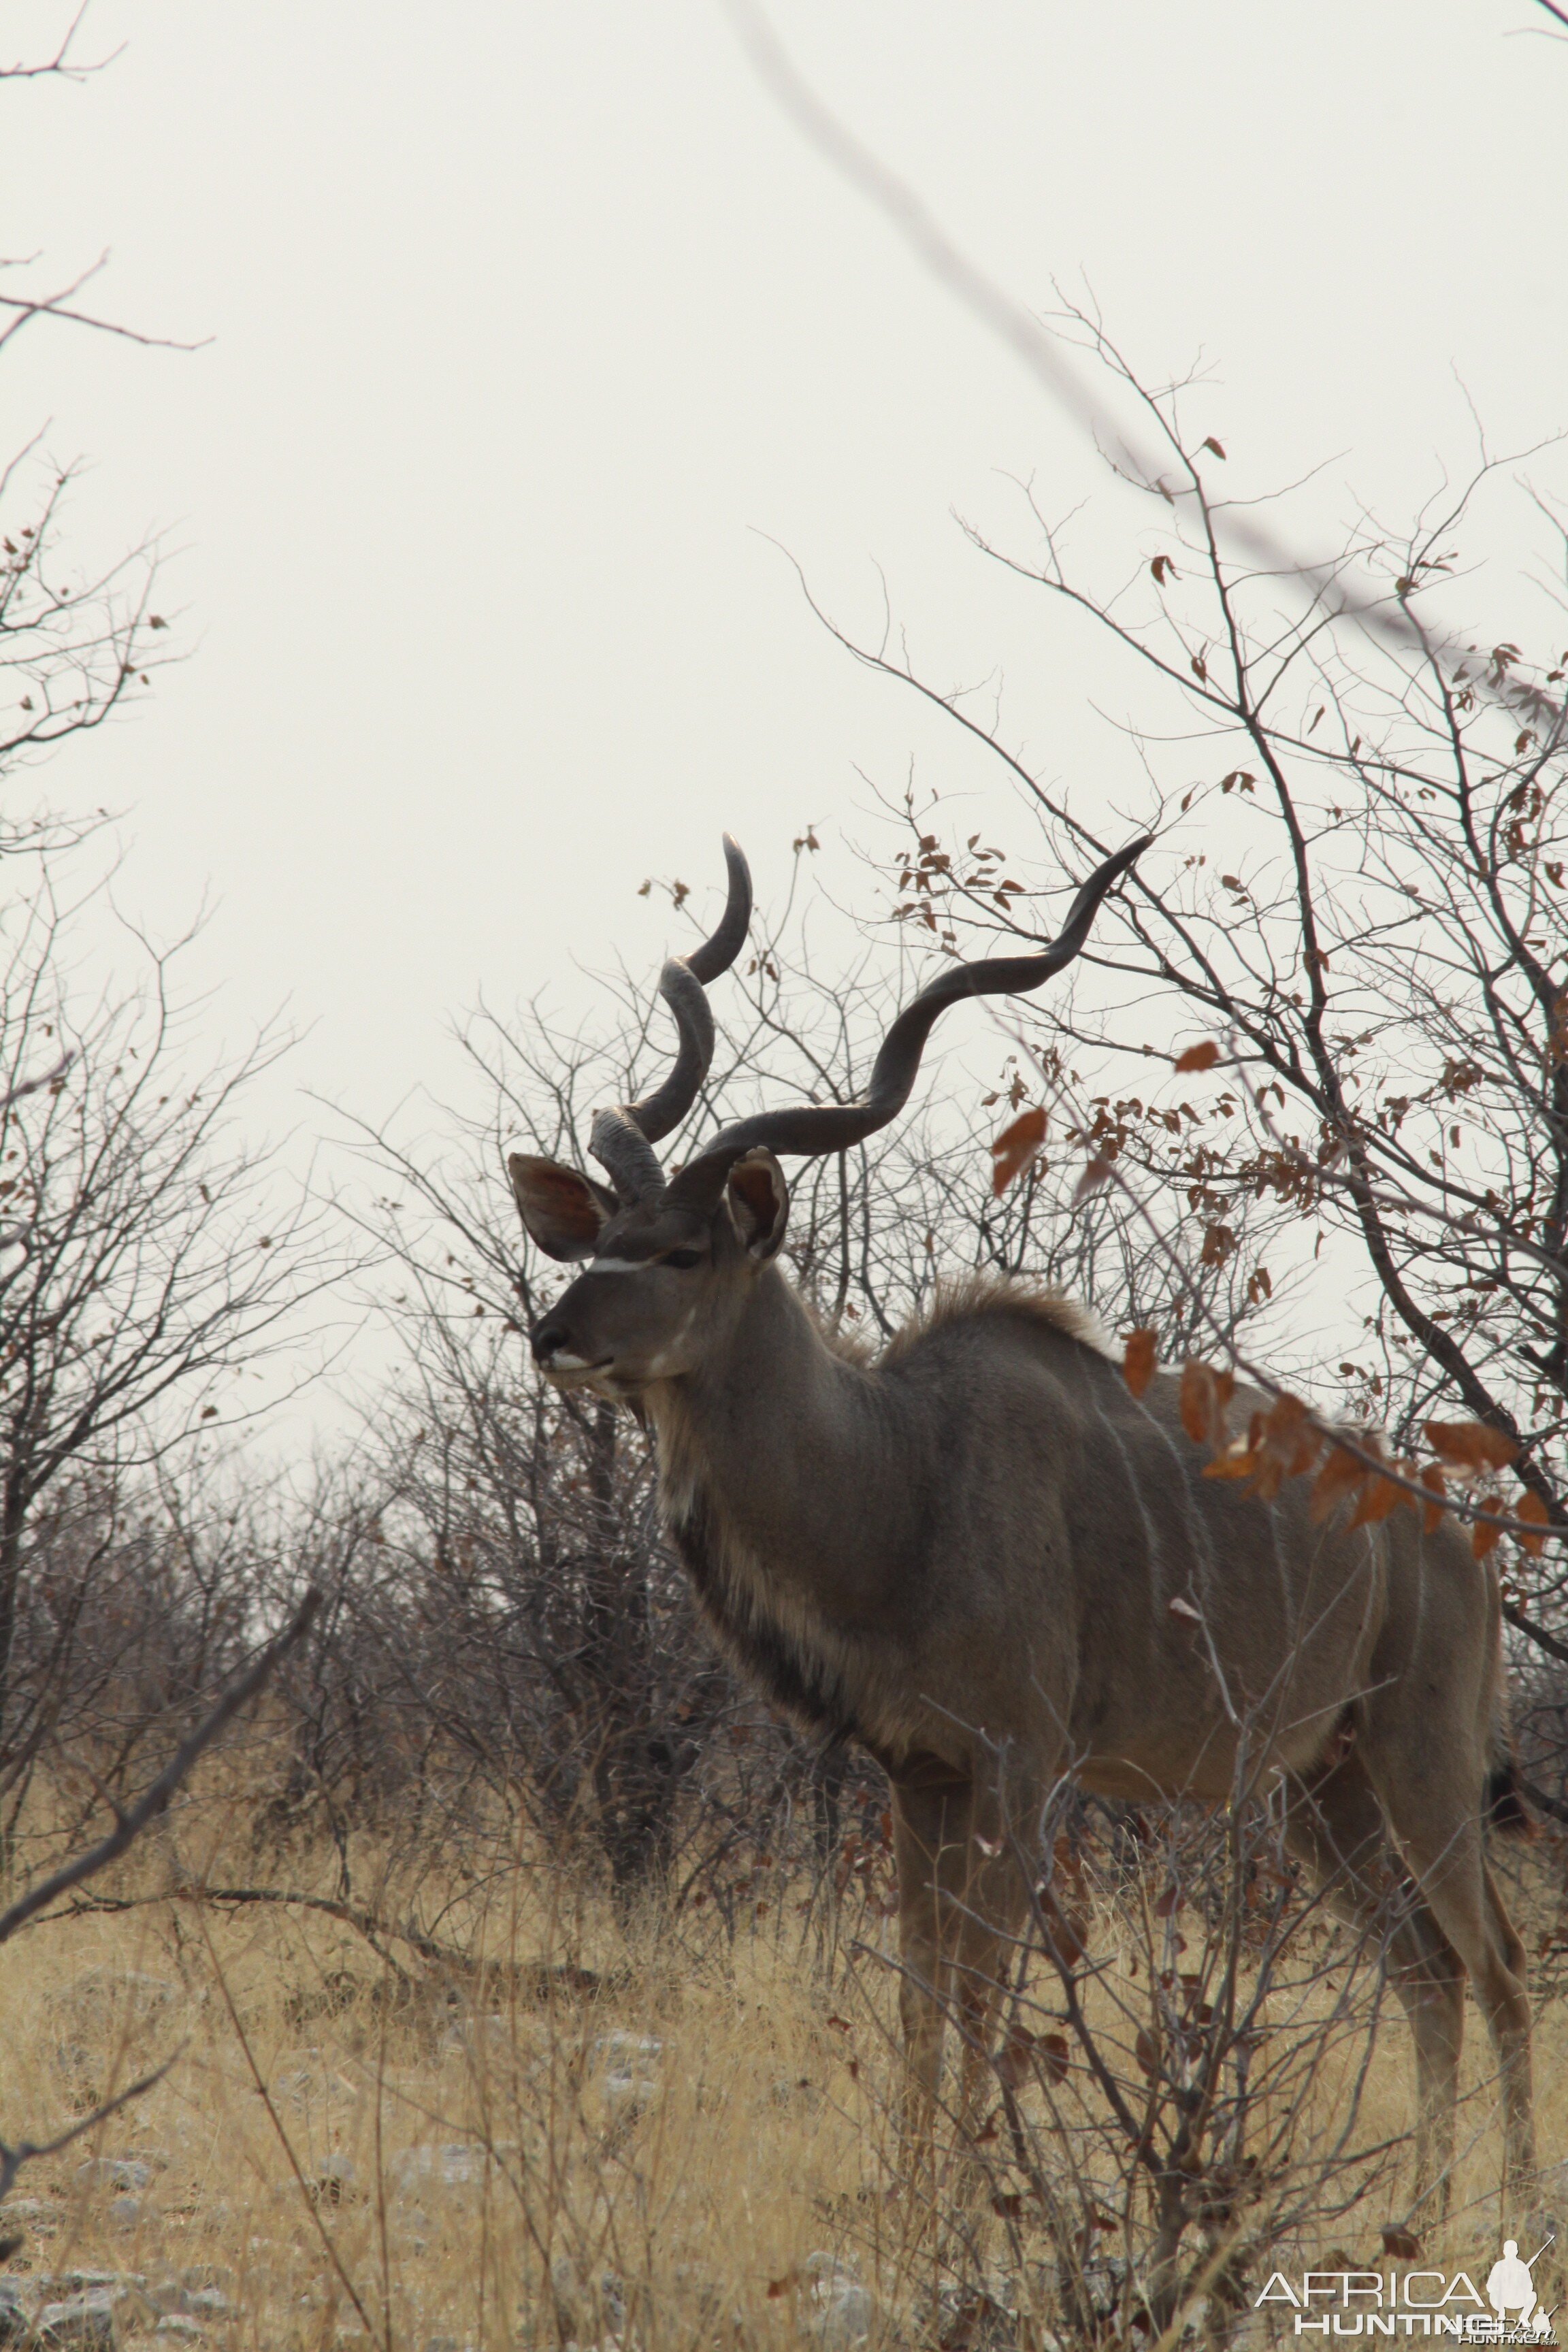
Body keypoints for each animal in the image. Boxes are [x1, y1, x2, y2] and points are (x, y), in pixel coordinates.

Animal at [512, 842, 1533, 2201]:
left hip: (1421, 1760)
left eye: (681, 1252)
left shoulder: (1017, 1762)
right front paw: (911, 2199)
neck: (898, 1475)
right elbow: (918, 1994)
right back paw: (1419, 2209)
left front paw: (965, 2204)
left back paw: (1509, 2213)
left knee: (1496, 1967)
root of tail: (1459, 1535)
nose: (553, 1334)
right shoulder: (921, 1772)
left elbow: (978, 1992)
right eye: (603, 1240)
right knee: (1423, 1968)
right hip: (1325, 1786)